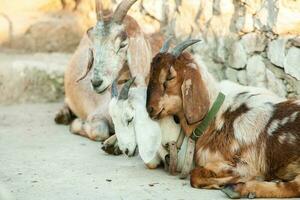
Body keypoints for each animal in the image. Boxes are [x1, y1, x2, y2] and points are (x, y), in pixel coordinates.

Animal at [53, 0, 162, 152]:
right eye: (93, 46)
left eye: (122, 44)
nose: (96, 82)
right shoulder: (97, 115)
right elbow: (99, 130)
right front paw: (77, 124)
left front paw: (114, 143)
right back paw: (62, 116)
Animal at [146, 39, 300, 198]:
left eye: (169, 77)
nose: (150, 109)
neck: (214, 117)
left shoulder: (243, 162)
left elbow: (195, 175)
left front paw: (240, 178)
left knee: (295, 186)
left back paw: (240, 189)